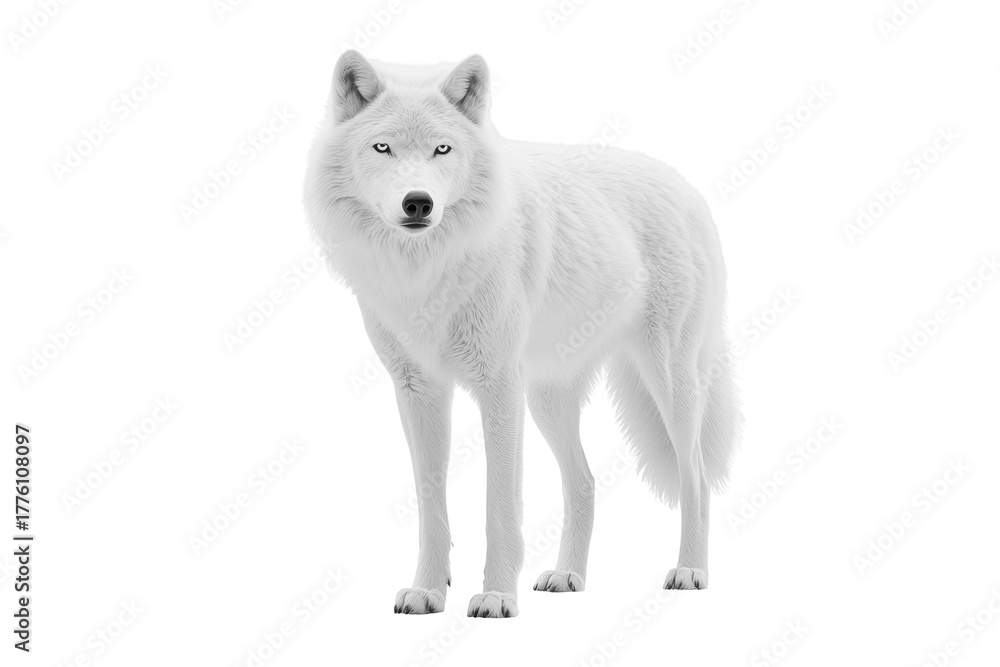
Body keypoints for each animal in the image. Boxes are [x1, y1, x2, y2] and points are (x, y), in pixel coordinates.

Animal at [303, 51, 741, 618]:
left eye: (442, 149)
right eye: (383, 147)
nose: (418, 202)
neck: (428, 271)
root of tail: (686, 186)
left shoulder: (498, 387)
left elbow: (500, 507)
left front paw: (495, 597)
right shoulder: (418, 391)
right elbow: (430, 503)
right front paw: (427, 591)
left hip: (671, 385)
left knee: (698, 480)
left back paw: (690, 571)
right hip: (548, 401)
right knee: (585, 483)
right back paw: (568, 576)